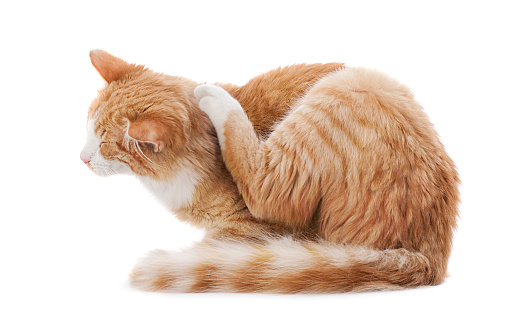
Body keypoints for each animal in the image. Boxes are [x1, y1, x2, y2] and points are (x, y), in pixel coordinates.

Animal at [81, 49, 458, 292]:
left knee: (263, 183)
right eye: (87, 130)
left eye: (104, 143)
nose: (82, 158)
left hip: (343, 88)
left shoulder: (252, 228)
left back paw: (216, 98)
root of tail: (430, 256)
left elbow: (220, 244)